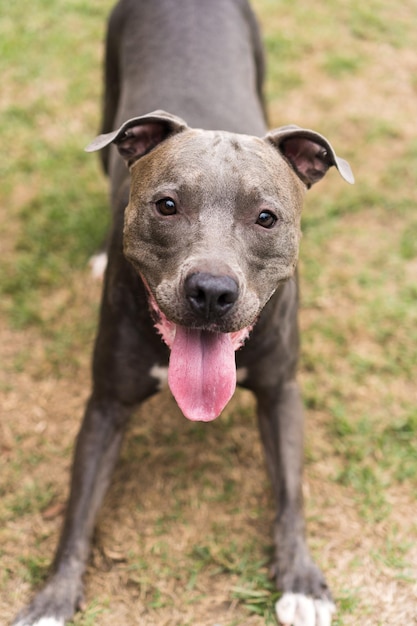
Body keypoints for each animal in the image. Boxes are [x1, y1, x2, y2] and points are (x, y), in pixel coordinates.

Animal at [12, 1, 352, 624]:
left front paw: (300, 579)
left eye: (266, 217)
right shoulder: (105, 405)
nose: (212, 291)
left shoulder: (282, 391)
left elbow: (291, 492)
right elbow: (78, 510)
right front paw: (53, 597)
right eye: (166, 205)